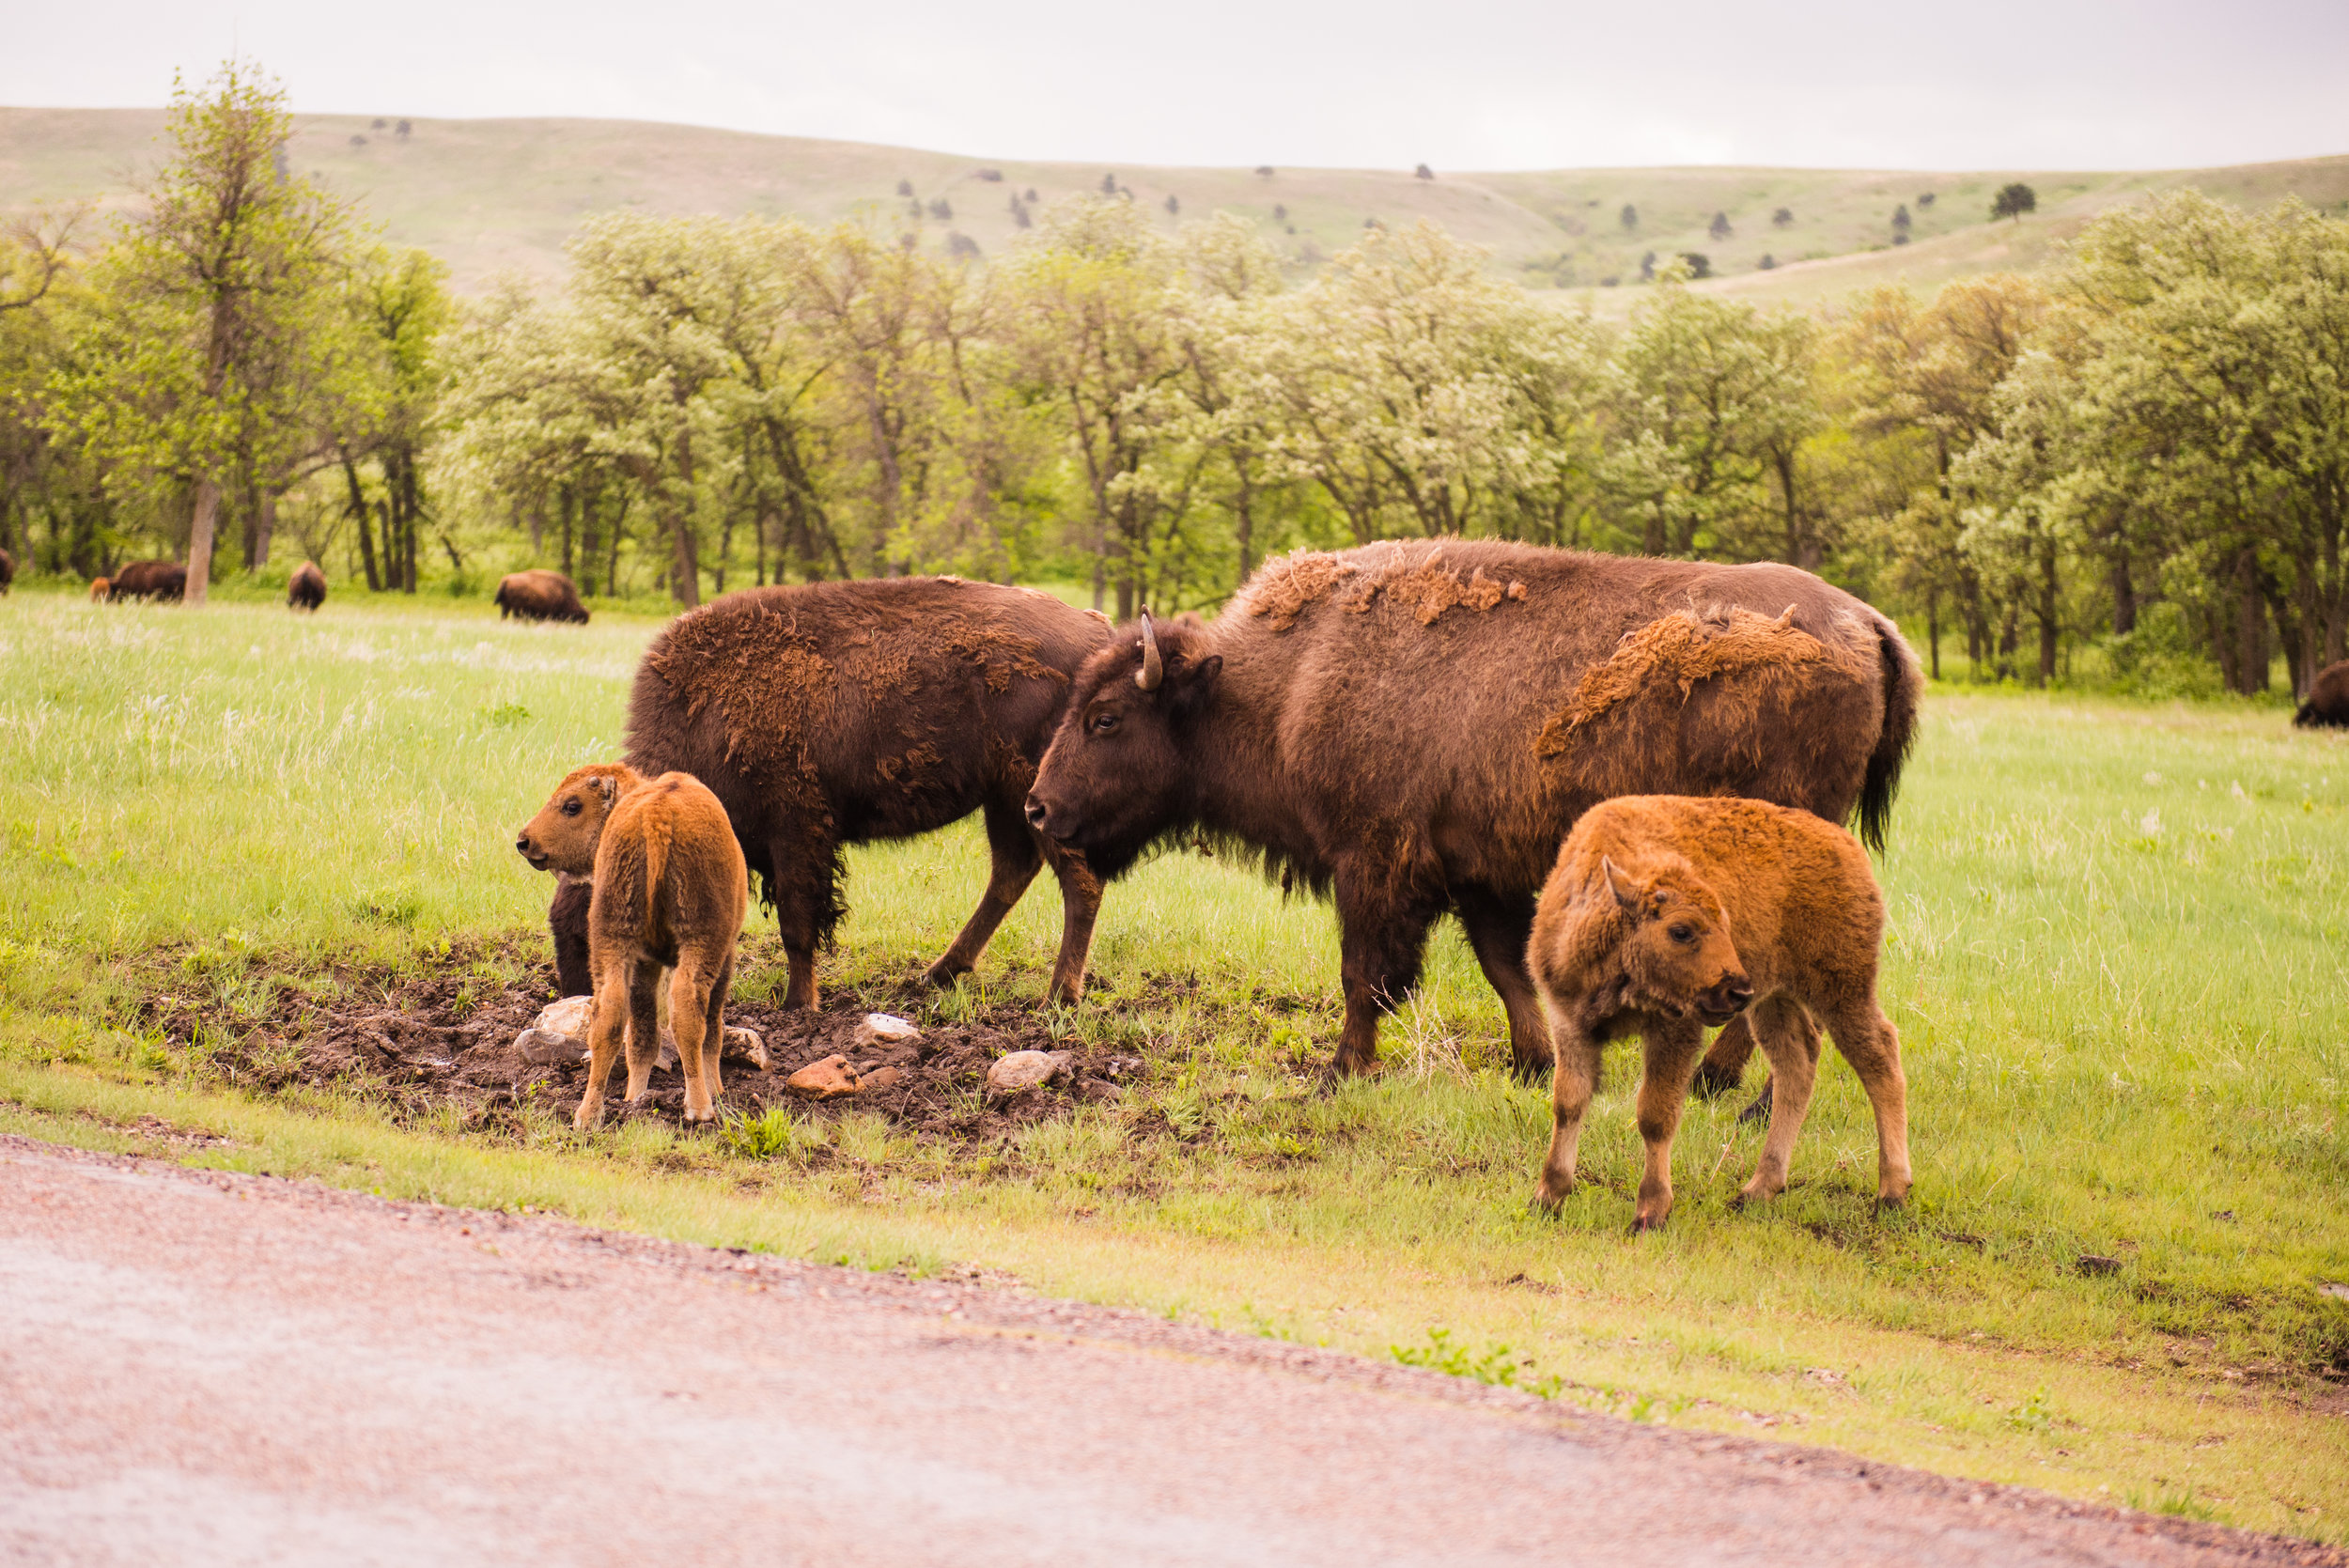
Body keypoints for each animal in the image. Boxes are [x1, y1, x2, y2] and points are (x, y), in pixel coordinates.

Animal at [519, 760, 747, 1126]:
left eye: (572, 805)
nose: (524, 841)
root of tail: (657, 814)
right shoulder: (724, 954)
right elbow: (711, 1028)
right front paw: (717, 1090)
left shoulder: (642, 960)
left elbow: (642, 1033)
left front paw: (634, 1096)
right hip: (701, 943)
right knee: (688, 1014)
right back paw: (699, 1108)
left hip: (611, 939)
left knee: (608, 1018)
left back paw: (591, 1114)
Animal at [550, 575, 1109, 1004]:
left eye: (588, 933)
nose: (580, 999)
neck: (705, 715)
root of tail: (1097, 634)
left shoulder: (797, 832)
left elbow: (798, 924)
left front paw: (800, 1004)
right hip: (1004, 800)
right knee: (1012, 872)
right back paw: (937, 974)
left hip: (1036, 796)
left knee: (1078, 882)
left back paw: (1059, 995)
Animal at [1019, 535, 1917, 1079]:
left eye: (1106, 718)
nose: (1036, 809)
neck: (1283, 685)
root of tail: (1868, 621)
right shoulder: (1478, 873)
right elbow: (1506, 968)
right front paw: (1531, 1064)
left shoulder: (1374, 864)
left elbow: (1366, 973)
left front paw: (1343, 1070)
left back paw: (1715, 1084)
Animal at [1522, 802, 1907, 1230]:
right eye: (1681, 931)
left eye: (1725, 922)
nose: (1736, 989)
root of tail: (1846, 847)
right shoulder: (1569, 1024)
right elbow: (1568, 1103)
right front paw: (1547, 1198)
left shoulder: (1673, 1032)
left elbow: (1654, 1115)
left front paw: (1650, 1212)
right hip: (1774, 1000)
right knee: (1797, 1062)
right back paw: (1757, 1190)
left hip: (1841, 988)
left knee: (1879, 1058)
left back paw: (1891, 1194)